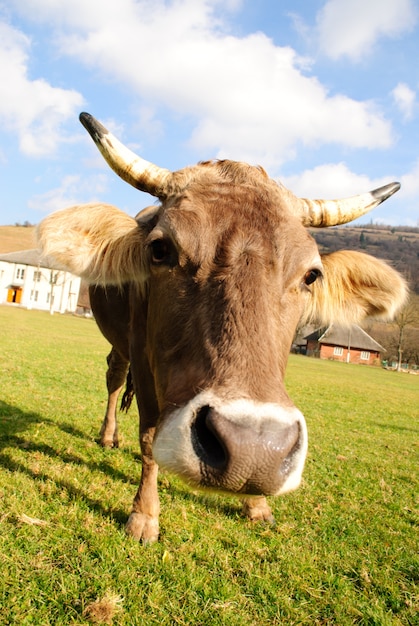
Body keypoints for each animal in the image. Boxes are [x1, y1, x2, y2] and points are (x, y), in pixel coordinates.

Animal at [37, 113, 408, 540]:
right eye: (160, 249)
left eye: (311, 275)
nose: (253, 449)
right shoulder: (144, 360)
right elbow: (148, 437)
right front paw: (144, 516)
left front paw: (258, 504)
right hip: (121, 343)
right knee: (114, 379)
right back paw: (108, 435)